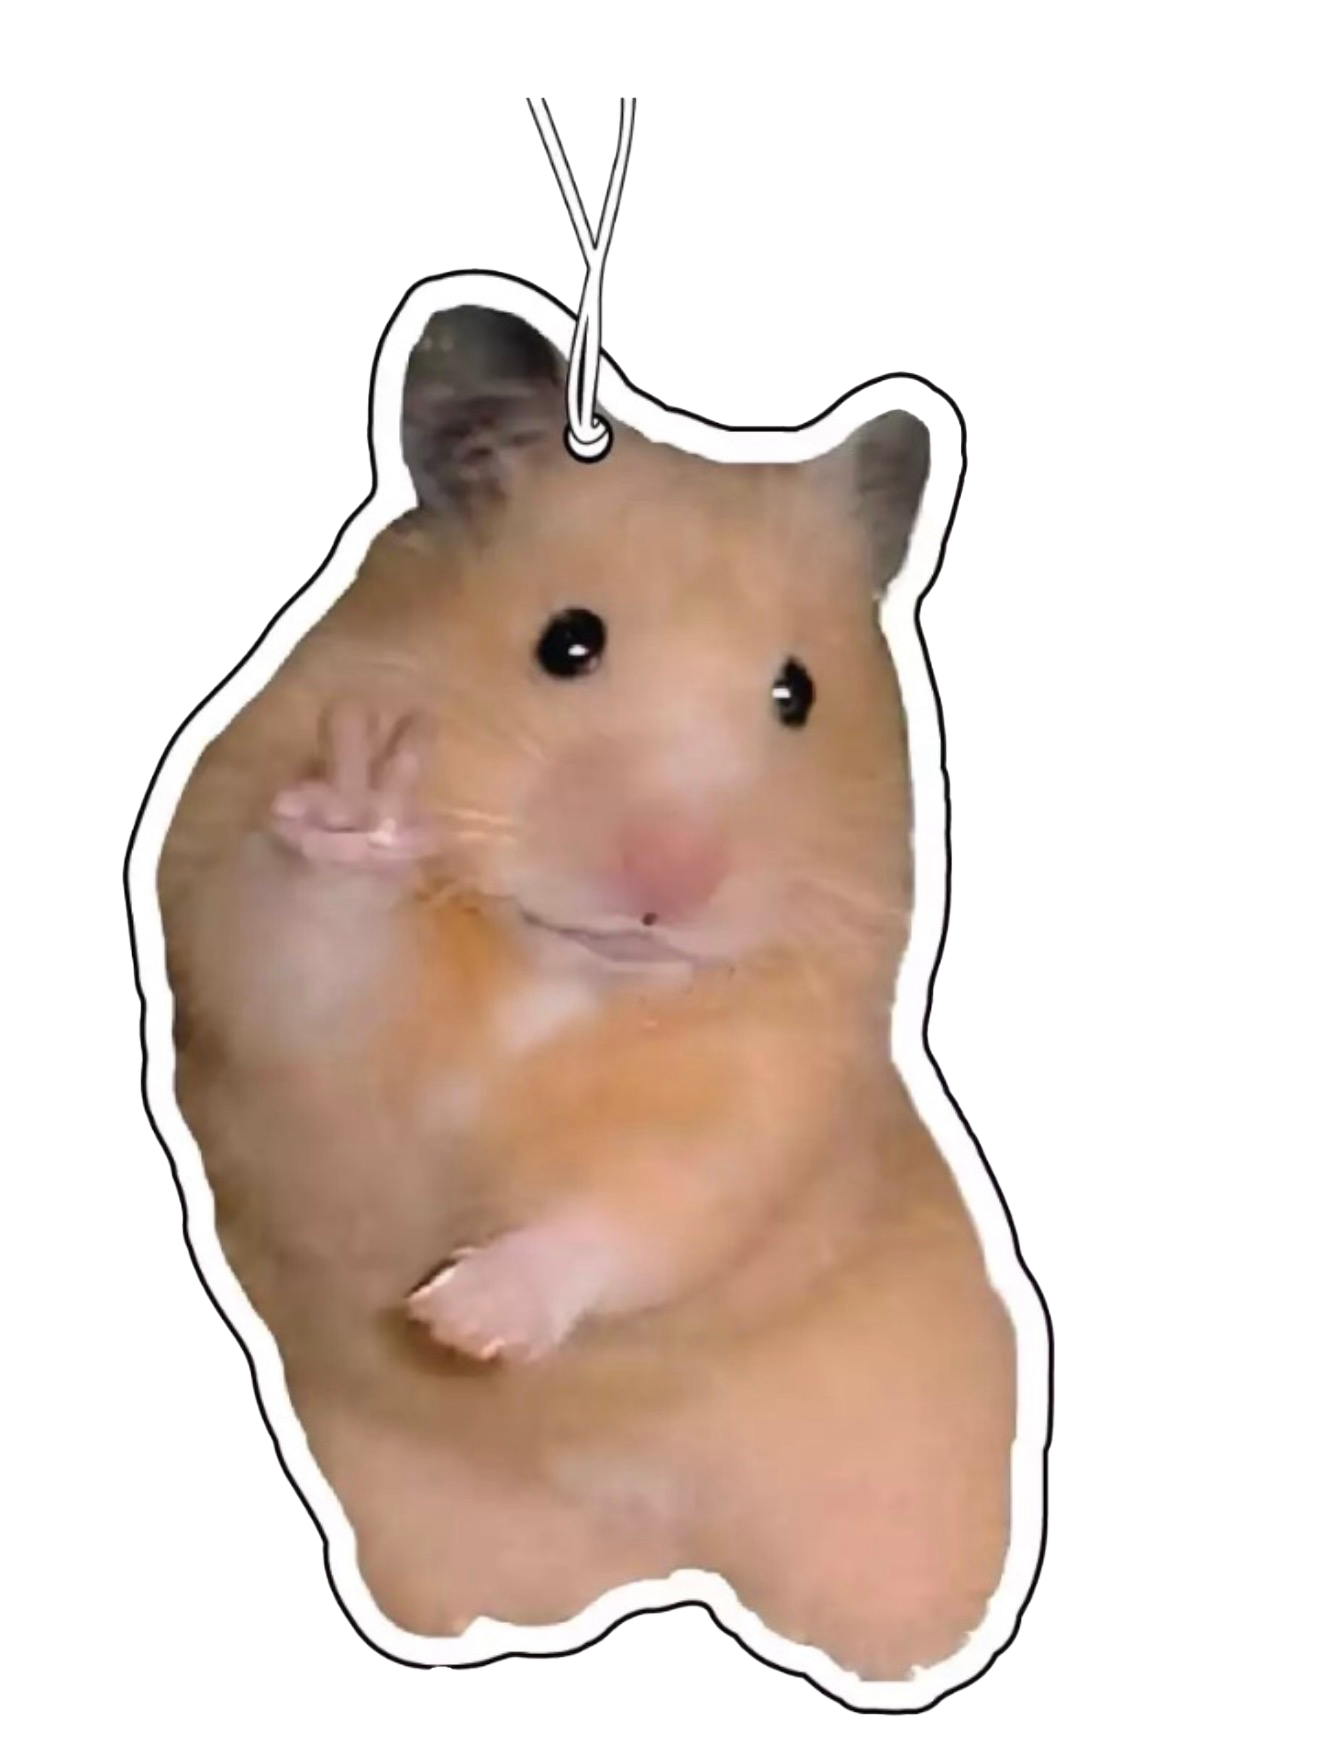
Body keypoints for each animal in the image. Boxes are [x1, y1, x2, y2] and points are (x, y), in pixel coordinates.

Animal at [157, 307, 1016, 1680]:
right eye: (568, 640)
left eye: (798, 693)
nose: (669, 883)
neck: (565, 971)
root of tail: (669, 1562)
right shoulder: (252, 965)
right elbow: (306, 948)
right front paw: (366, 799)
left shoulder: (768, 1092)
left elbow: (644, 1207)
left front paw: (463, 1317)